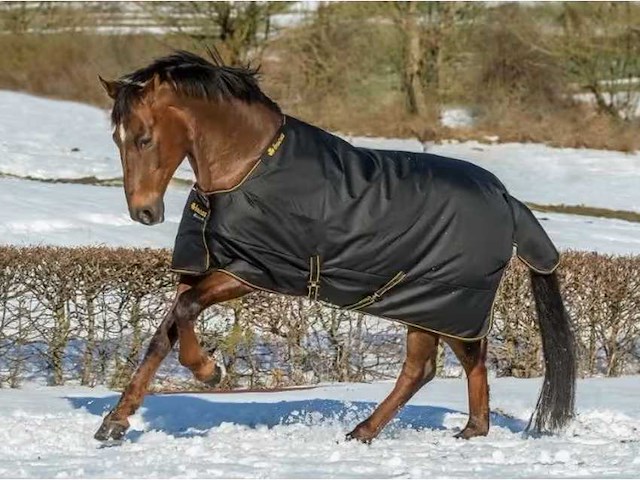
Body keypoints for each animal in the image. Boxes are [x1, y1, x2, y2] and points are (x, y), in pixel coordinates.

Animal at [95, 50, 576, 444]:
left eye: (144, 138)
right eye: (116, 138)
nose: (144, 212)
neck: (247, 167)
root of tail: (508, 201)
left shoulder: (249, 272)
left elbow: (186, 310)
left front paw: (211, 372)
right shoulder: (201, 269)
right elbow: (165, 332)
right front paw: (115, 423)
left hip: (444, 304)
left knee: (440, 365)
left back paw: (383, 431)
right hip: (430, 307)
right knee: (447, 365)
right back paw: (452, 429)